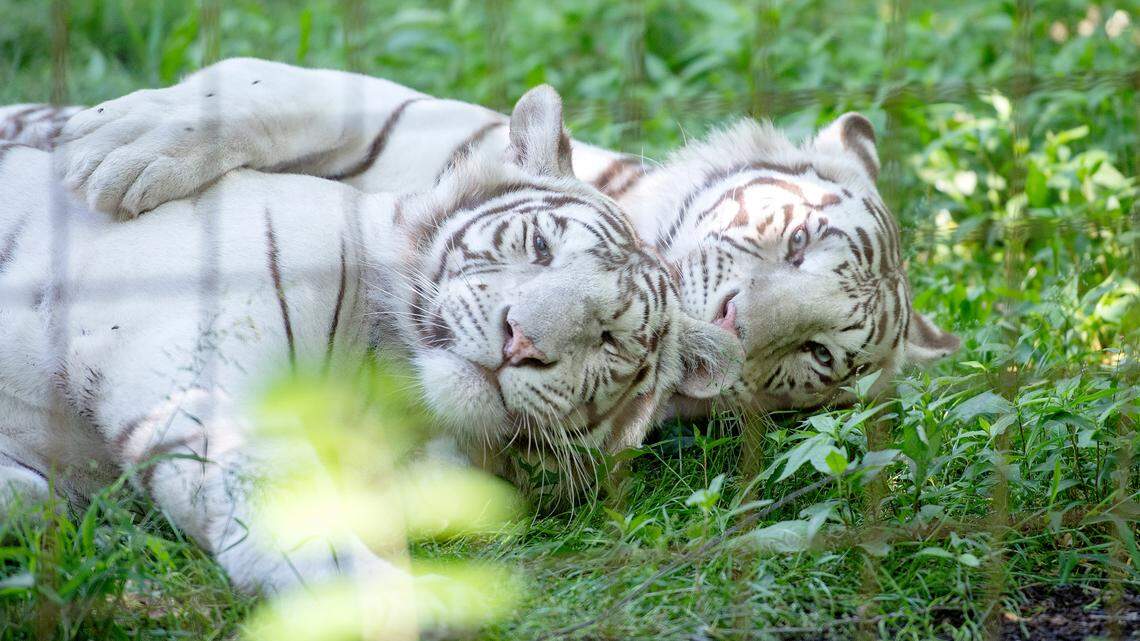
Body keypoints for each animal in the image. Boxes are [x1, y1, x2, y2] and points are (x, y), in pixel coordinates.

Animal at [0, 86, 740, 608]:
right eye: (540, 247)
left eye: (610, 338)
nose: (522, 340)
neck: (385, 381)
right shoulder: (191, 354)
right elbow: (267, 475)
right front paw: (382, 598)